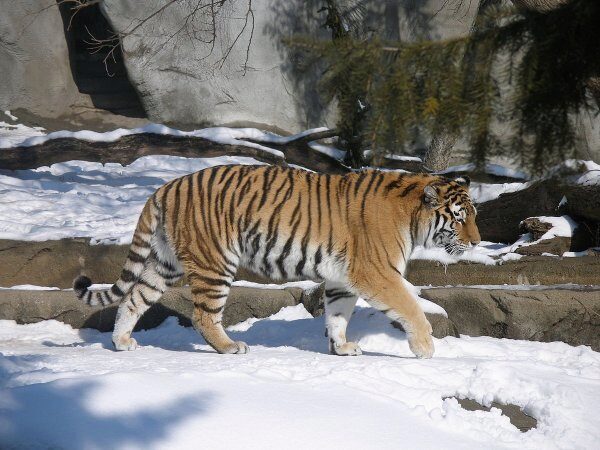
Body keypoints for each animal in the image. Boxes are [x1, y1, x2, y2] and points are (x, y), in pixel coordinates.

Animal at [72, 165, 480, 358]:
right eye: (460, 218)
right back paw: (230, 347)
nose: (477, 241)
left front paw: (341, 347)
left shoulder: (342, 278)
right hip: (215, 261)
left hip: (165, 263)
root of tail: (167, 186)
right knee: (203, 315)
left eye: (473, 216)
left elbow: (337, 315)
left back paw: (122, 341)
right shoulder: (377, 272)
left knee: (133, 298)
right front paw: (425, 348)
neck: (412, 216)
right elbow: (411, 308)